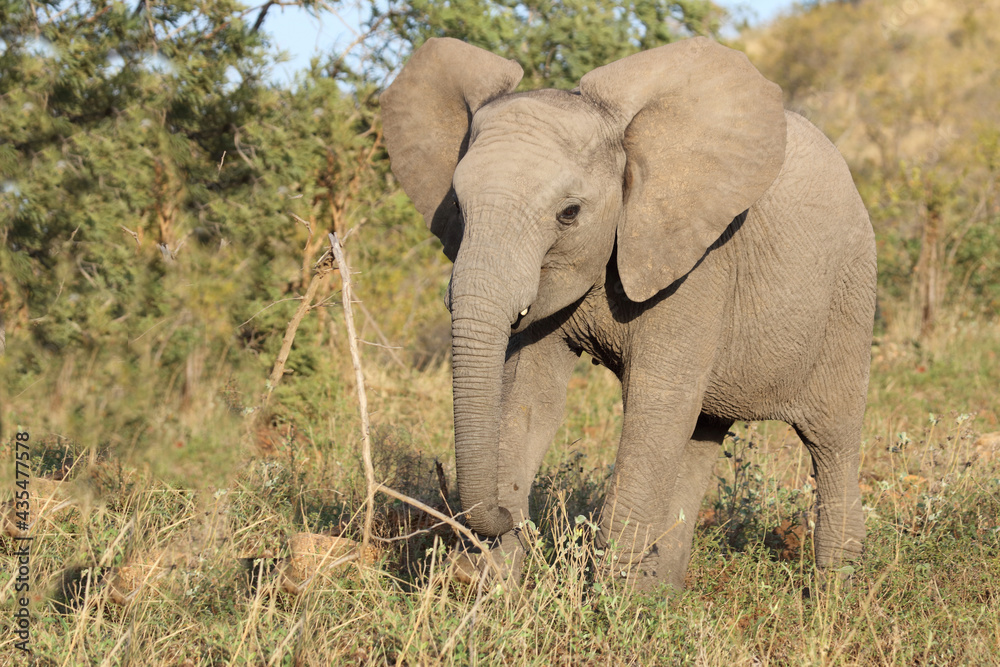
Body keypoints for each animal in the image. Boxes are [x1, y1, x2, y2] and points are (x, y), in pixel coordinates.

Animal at [380, 36, 876, 591]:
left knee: (831, 440)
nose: (508, 517)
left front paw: (609, 600)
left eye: (569, 213)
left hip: (850, 295)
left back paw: (834, 593)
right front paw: (486, 584)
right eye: (458, 209)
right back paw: (665, 593)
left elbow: (654, 401)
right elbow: (528, 396)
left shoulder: (698, 263)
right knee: (702, 431)